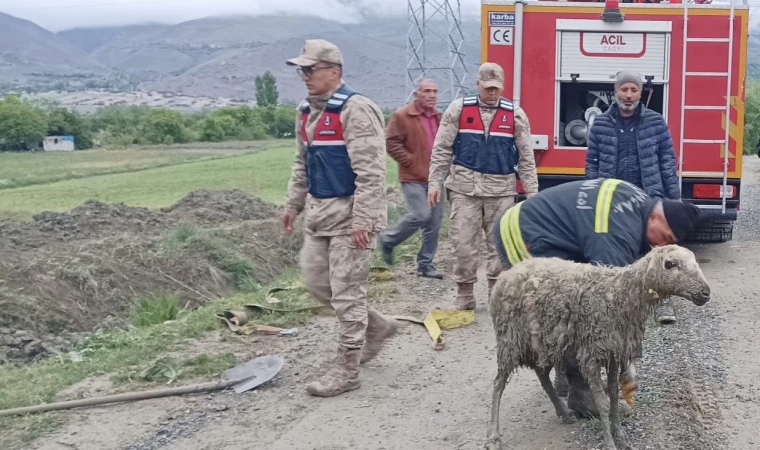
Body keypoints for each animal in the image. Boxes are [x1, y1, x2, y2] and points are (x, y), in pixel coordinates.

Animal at [484, 244, 708, 450]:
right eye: (670, 264)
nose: (705, 293)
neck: (618, 296)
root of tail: (508, 273)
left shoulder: (614, 352)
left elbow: (614, 395)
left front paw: (620, 433)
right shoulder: (591, 355)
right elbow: (602, 402)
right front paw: (609, 442)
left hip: (542, 340)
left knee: (542, 375)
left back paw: (564, 412)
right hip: (510, 340)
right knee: (497, 385)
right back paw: (493, 436)